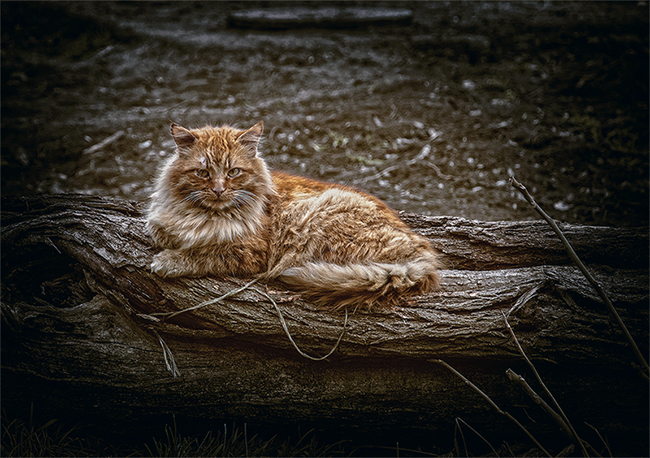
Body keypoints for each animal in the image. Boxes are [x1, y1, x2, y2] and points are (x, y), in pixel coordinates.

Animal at [147, 121, 440, 312]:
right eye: (202, 173)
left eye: (233, 172)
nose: (219, 190)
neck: (205, 214)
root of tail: (422, 256)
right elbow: (163, 231)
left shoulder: (251, 251)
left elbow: (204, 253)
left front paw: (169, 261)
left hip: (315, 218)